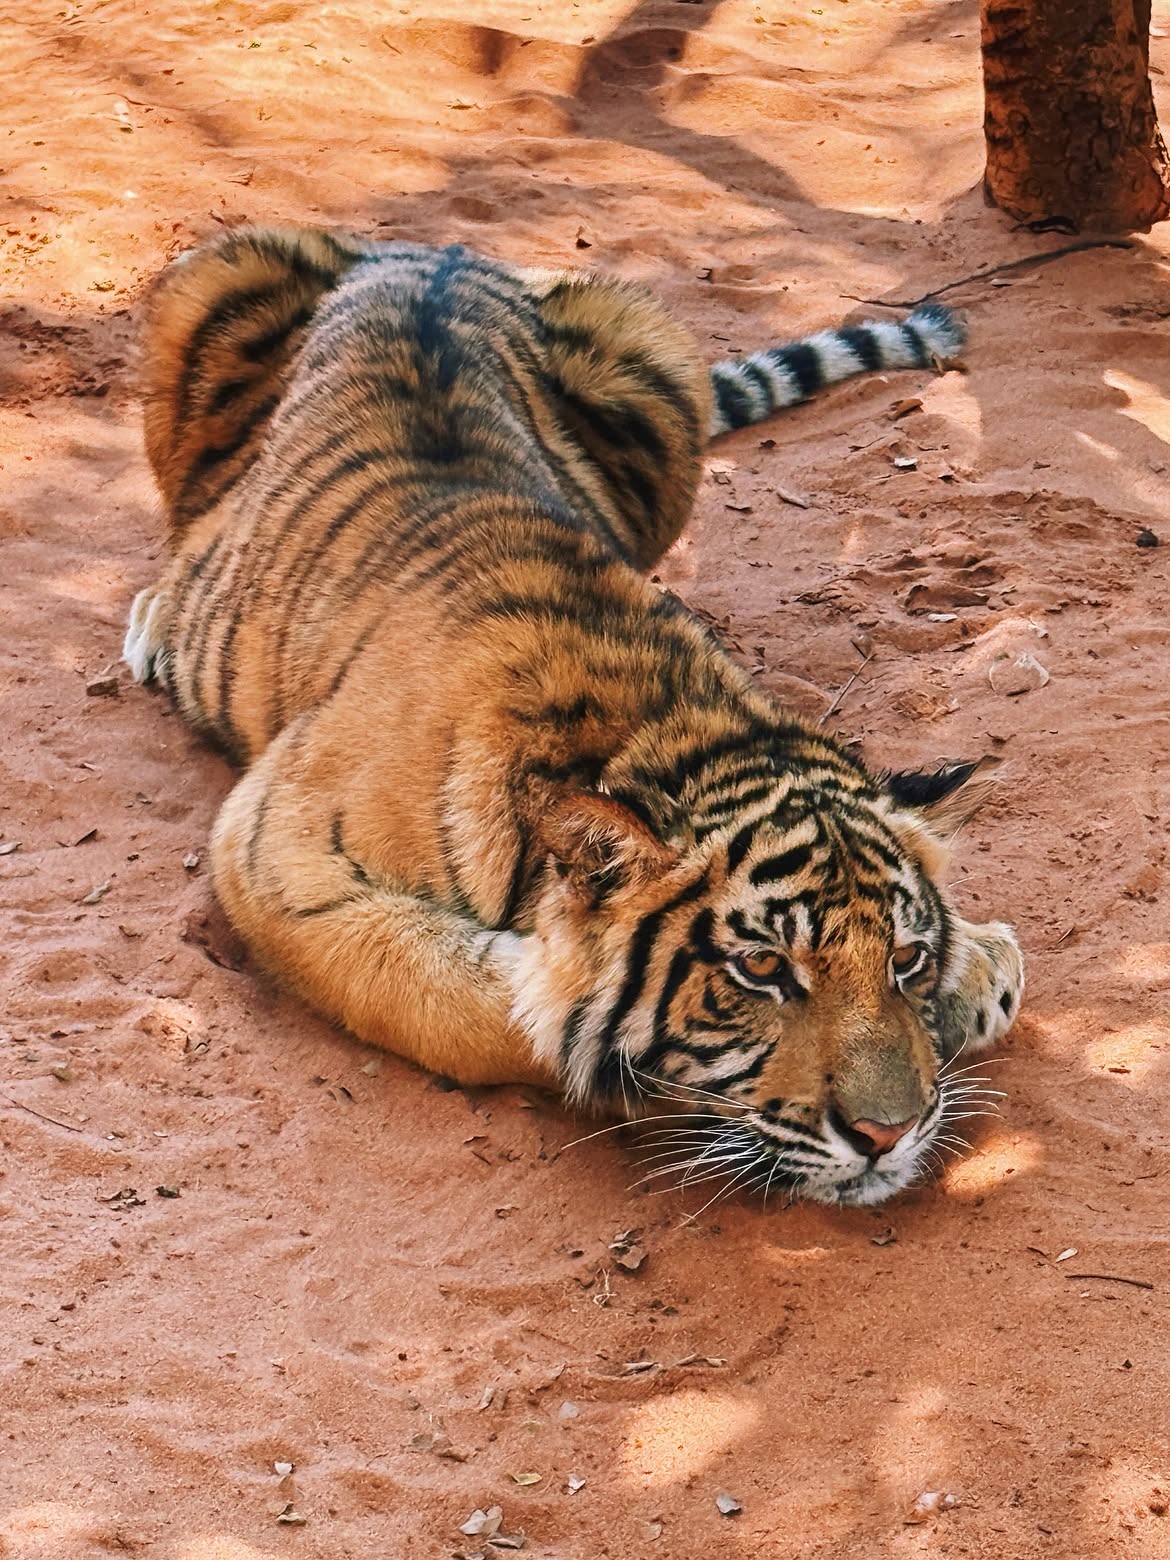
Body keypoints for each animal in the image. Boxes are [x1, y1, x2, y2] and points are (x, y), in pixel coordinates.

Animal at [124, 224, 1023, 1208]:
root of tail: (424, 249)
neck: (664, 721)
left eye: (903, 958)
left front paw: (979, 966)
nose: (889, 1135)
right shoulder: (277, 854)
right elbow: (480, 1002)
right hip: (211, 280)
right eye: (761, 969)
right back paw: (156, 624)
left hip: (651, 352)